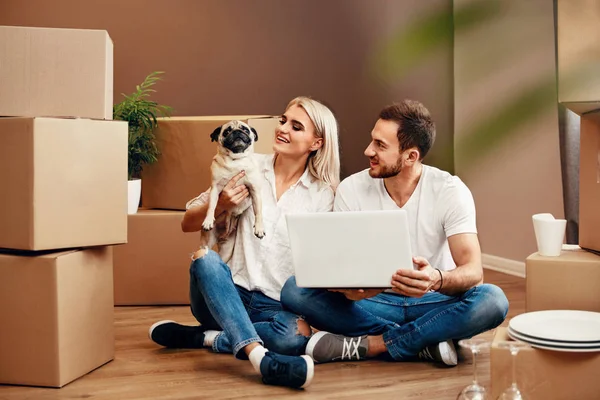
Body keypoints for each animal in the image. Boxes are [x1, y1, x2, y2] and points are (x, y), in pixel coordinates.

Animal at [199, 119, 264, 253]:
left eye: (245, 130)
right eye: (227, 132)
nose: (237, 132)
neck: (236, 160)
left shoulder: (255, 190)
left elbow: (259, 212)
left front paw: (259, 227)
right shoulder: (215, 188)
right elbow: (211, 206)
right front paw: (208, 220)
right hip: (207, 242)